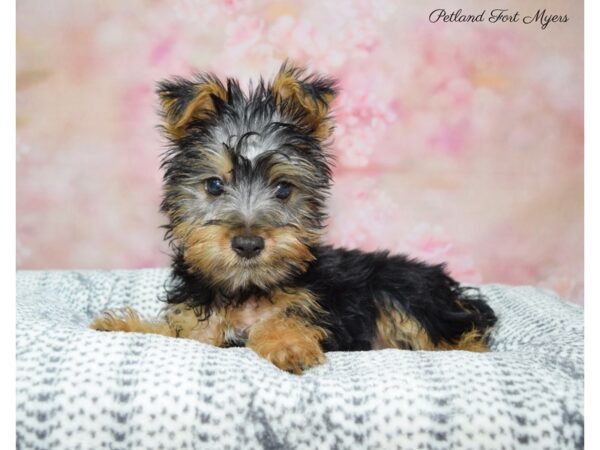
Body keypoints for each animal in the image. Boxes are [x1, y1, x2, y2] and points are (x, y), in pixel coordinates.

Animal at [91, 61, 496, 374]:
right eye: (214, 185)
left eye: (283, 188)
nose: (248, 243)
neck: (246, 290)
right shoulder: (198, 326)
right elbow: (182, 335)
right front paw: (121, 326)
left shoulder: (313, 307)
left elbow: (285, 318)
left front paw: (288, 345)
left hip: (406, 294)